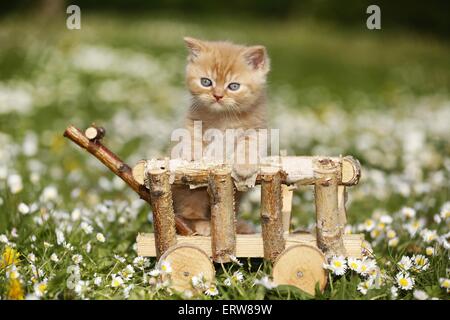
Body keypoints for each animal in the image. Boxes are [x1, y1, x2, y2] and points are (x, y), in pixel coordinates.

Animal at [172, 37, 270, 235]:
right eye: (206, 82)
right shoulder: (192, 120)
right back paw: (202, 225)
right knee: (188, 211)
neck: (223, 116)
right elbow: (191, 136)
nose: (217, 96)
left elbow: (249, 142)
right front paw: (191, 154)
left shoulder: (259, 128)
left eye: (233, 86)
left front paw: (245, 166)